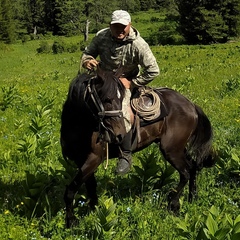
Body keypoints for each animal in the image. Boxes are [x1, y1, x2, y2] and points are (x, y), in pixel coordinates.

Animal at [60, 67, 216, 227]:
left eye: (120, 99)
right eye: (107, 99)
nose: (119, 135)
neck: (80, 127)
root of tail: (191, 105)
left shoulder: (93, 159)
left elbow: (70, 191)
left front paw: (71, 221)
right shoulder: (81, 161)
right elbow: (90, 186)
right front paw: (93, 210)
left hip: (171, 150)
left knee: (185, 172)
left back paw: (173, 204)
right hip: (179, 148)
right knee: (193, 166)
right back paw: (192, 197)